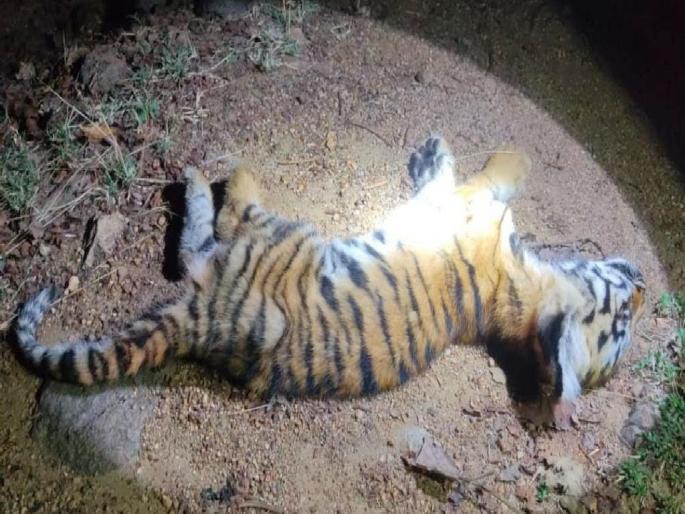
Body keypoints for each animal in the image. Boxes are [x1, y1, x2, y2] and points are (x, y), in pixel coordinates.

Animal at [11, 136, 646, 427]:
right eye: (624, 318)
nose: (643, 283)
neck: (525, 297)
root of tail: (206, 323)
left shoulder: (466, 204)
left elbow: (483, 175)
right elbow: (478, 172)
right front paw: (440, 152)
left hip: (278, 239)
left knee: (221, 222)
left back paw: (209, 174)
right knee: (197, 246)